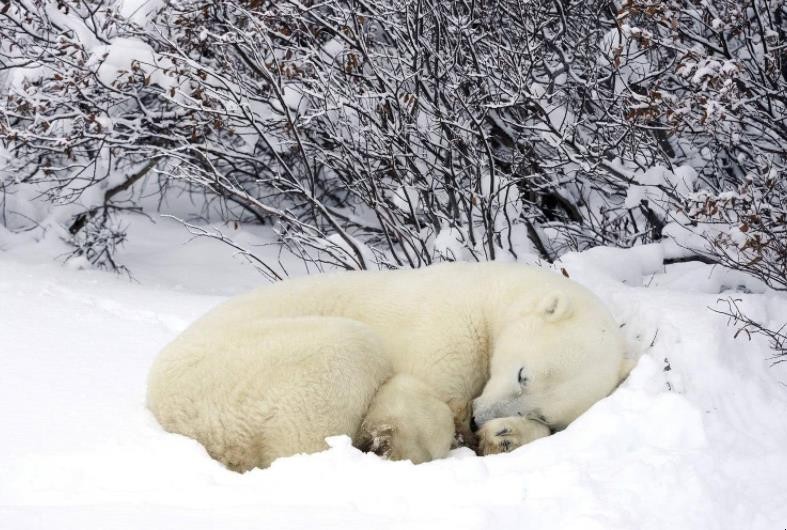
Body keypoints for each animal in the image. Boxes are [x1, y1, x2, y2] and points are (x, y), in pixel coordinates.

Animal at [146, 260, 628, 470]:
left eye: (541, 412)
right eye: (523, 373)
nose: (479, 418)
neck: (489, 293)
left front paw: (504, 437)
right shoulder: (446, 326)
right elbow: (421, 393)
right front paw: (403, 438)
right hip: (241, 371)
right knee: (344, 355)